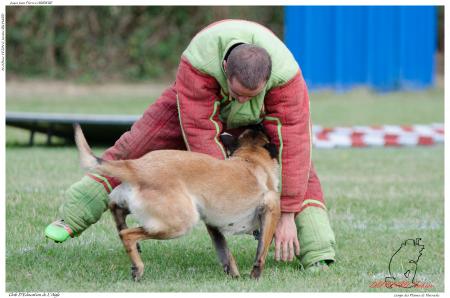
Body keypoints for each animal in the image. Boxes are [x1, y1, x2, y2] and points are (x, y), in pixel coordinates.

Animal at [74, 124, 280, 282]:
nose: (258, 123)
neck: (251, 158)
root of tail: (137, 166)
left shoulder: (212, 225)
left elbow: (225, 253)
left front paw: (234, 276)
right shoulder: (270, 212)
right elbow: (261, 251)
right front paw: (254, 277)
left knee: (115, 209)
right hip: (180, 222)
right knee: (127, 234)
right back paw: (138, 266)